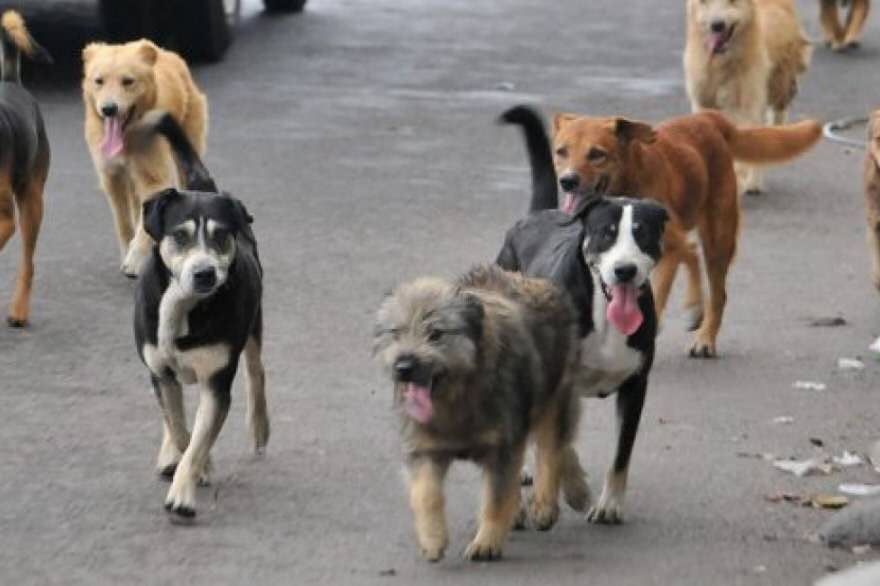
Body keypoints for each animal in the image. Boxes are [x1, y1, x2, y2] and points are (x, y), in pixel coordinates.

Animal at [131, 108, 268, 516]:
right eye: (180, 235)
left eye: (221, 236)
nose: (205, 273)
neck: (183, 307)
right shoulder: (159, 370)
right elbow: (180, 428)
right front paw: (196, 463)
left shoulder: (217, 380)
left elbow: (198, 437)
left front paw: (185, 491)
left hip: (254, 326)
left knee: (257, 372)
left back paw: (260, 426)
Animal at [552, 110, 820, 356]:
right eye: (561, 152)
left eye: (597, 154)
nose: (567, 181)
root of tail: (709, 117)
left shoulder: (663, 256)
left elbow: (657, 294)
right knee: (690, 251)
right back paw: (695, 309)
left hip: (717, 240)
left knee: (717, 293)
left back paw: (705, 338)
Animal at [684, 0, 816, 194]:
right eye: (704, 2)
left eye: (731, 2)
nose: (717, 25)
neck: (723, 63)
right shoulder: (703, 103)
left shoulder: (744, 108)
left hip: (778, 86)